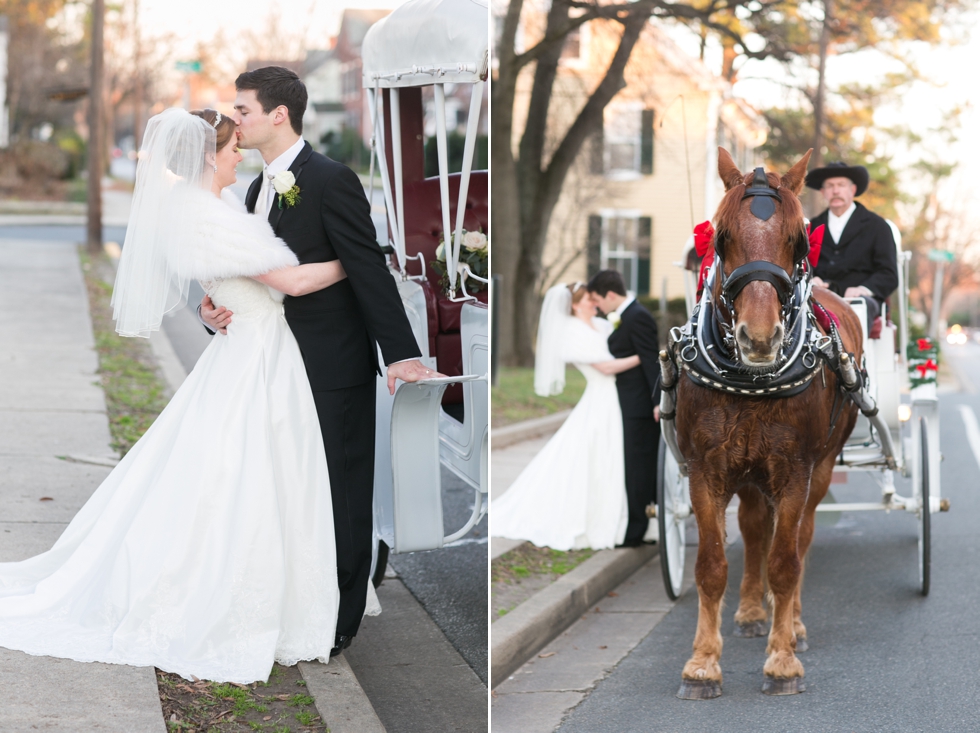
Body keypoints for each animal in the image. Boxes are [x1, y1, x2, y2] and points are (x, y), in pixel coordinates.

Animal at [672, 149, 864, 696]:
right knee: (756, 528)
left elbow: (786, 562)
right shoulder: (706, 470)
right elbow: (712, 565)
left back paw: (791, 623)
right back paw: (753, 611)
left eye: (799, 239)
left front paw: (782, 659)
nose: (759, 338)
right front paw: (702, 663)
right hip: (750, 473)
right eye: (720, 237)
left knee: (799, 538)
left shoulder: (795, 470)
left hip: (819, 468)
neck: (751, 379)